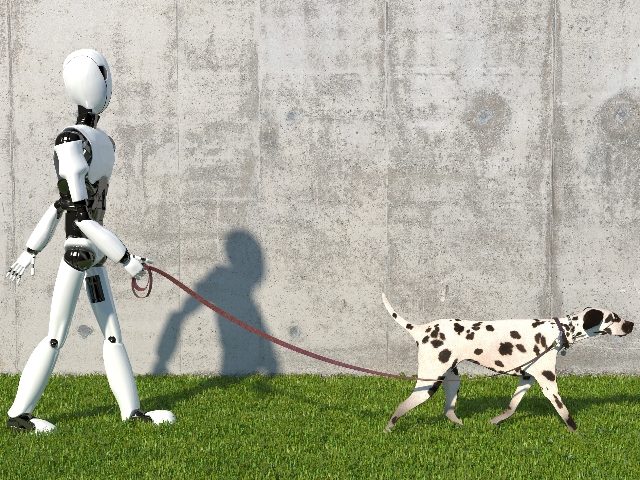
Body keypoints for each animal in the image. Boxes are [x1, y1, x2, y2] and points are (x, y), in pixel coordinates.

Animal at [382, 294, 632, 434]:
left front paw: (495, 421)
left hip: (452, 380)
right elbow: (565, 412)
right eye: (613, 318)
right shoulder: (548, 383)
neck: (558, 331)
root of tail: (420, 330)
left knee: (448, 411)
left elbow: (511, 407)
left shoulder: (527, 379)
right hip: (428, 383)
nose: (631, 325)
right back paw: (388, 429)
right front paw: (578, 434)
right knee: (401, 407)